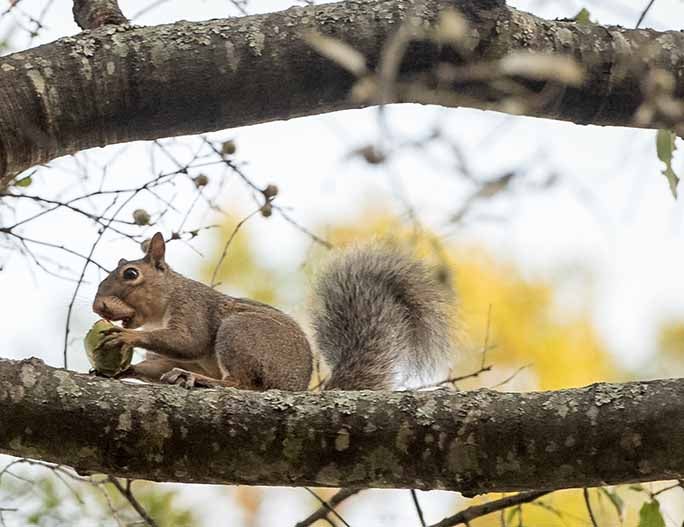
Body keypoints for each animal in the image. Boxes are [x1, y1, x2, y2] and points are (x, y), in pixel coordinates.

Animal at [91, 233, 454, 390]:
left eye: (130, 274)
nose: (98, 306)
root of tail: (294, 389)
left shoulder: (194, 308)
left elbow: (188, 341)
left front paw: (125, 336)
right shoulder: (165, 355)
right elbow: (160, 364)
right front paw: (121, 370)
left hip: (239, 332)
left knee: (240, 383)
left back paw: (197, 378)